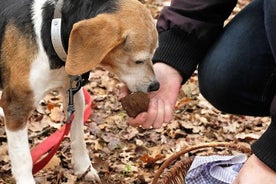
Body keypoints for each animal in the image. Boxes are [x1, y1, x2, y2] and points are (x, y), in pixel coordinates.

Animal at [0, 0, 160, 183]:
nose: (156, 86)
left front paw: (84, 168)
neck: (50, 33)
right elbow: (23, 158)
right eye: (139, 60)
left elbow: (78, 138)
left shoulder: (73, 95)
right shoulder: (17, 107)